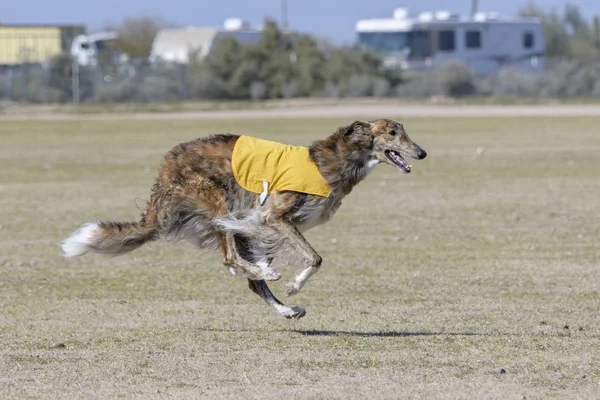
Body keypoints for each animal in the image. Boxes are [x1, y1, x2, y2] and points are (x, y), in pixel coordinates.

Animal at [62, 119, 426, 318]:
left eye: (403, 132)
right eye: (392, 133)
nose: (422, 153)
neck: (335, 159)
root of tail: (163, 174)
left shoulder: (266, 224)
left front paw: (280, 283)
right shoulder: (273, 214)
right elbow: (315, 258)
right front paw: (293, 284)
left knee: (247, 275)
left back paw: (285, 307)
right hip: (215, 198)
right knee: (229, 258)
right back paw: (271, 277)